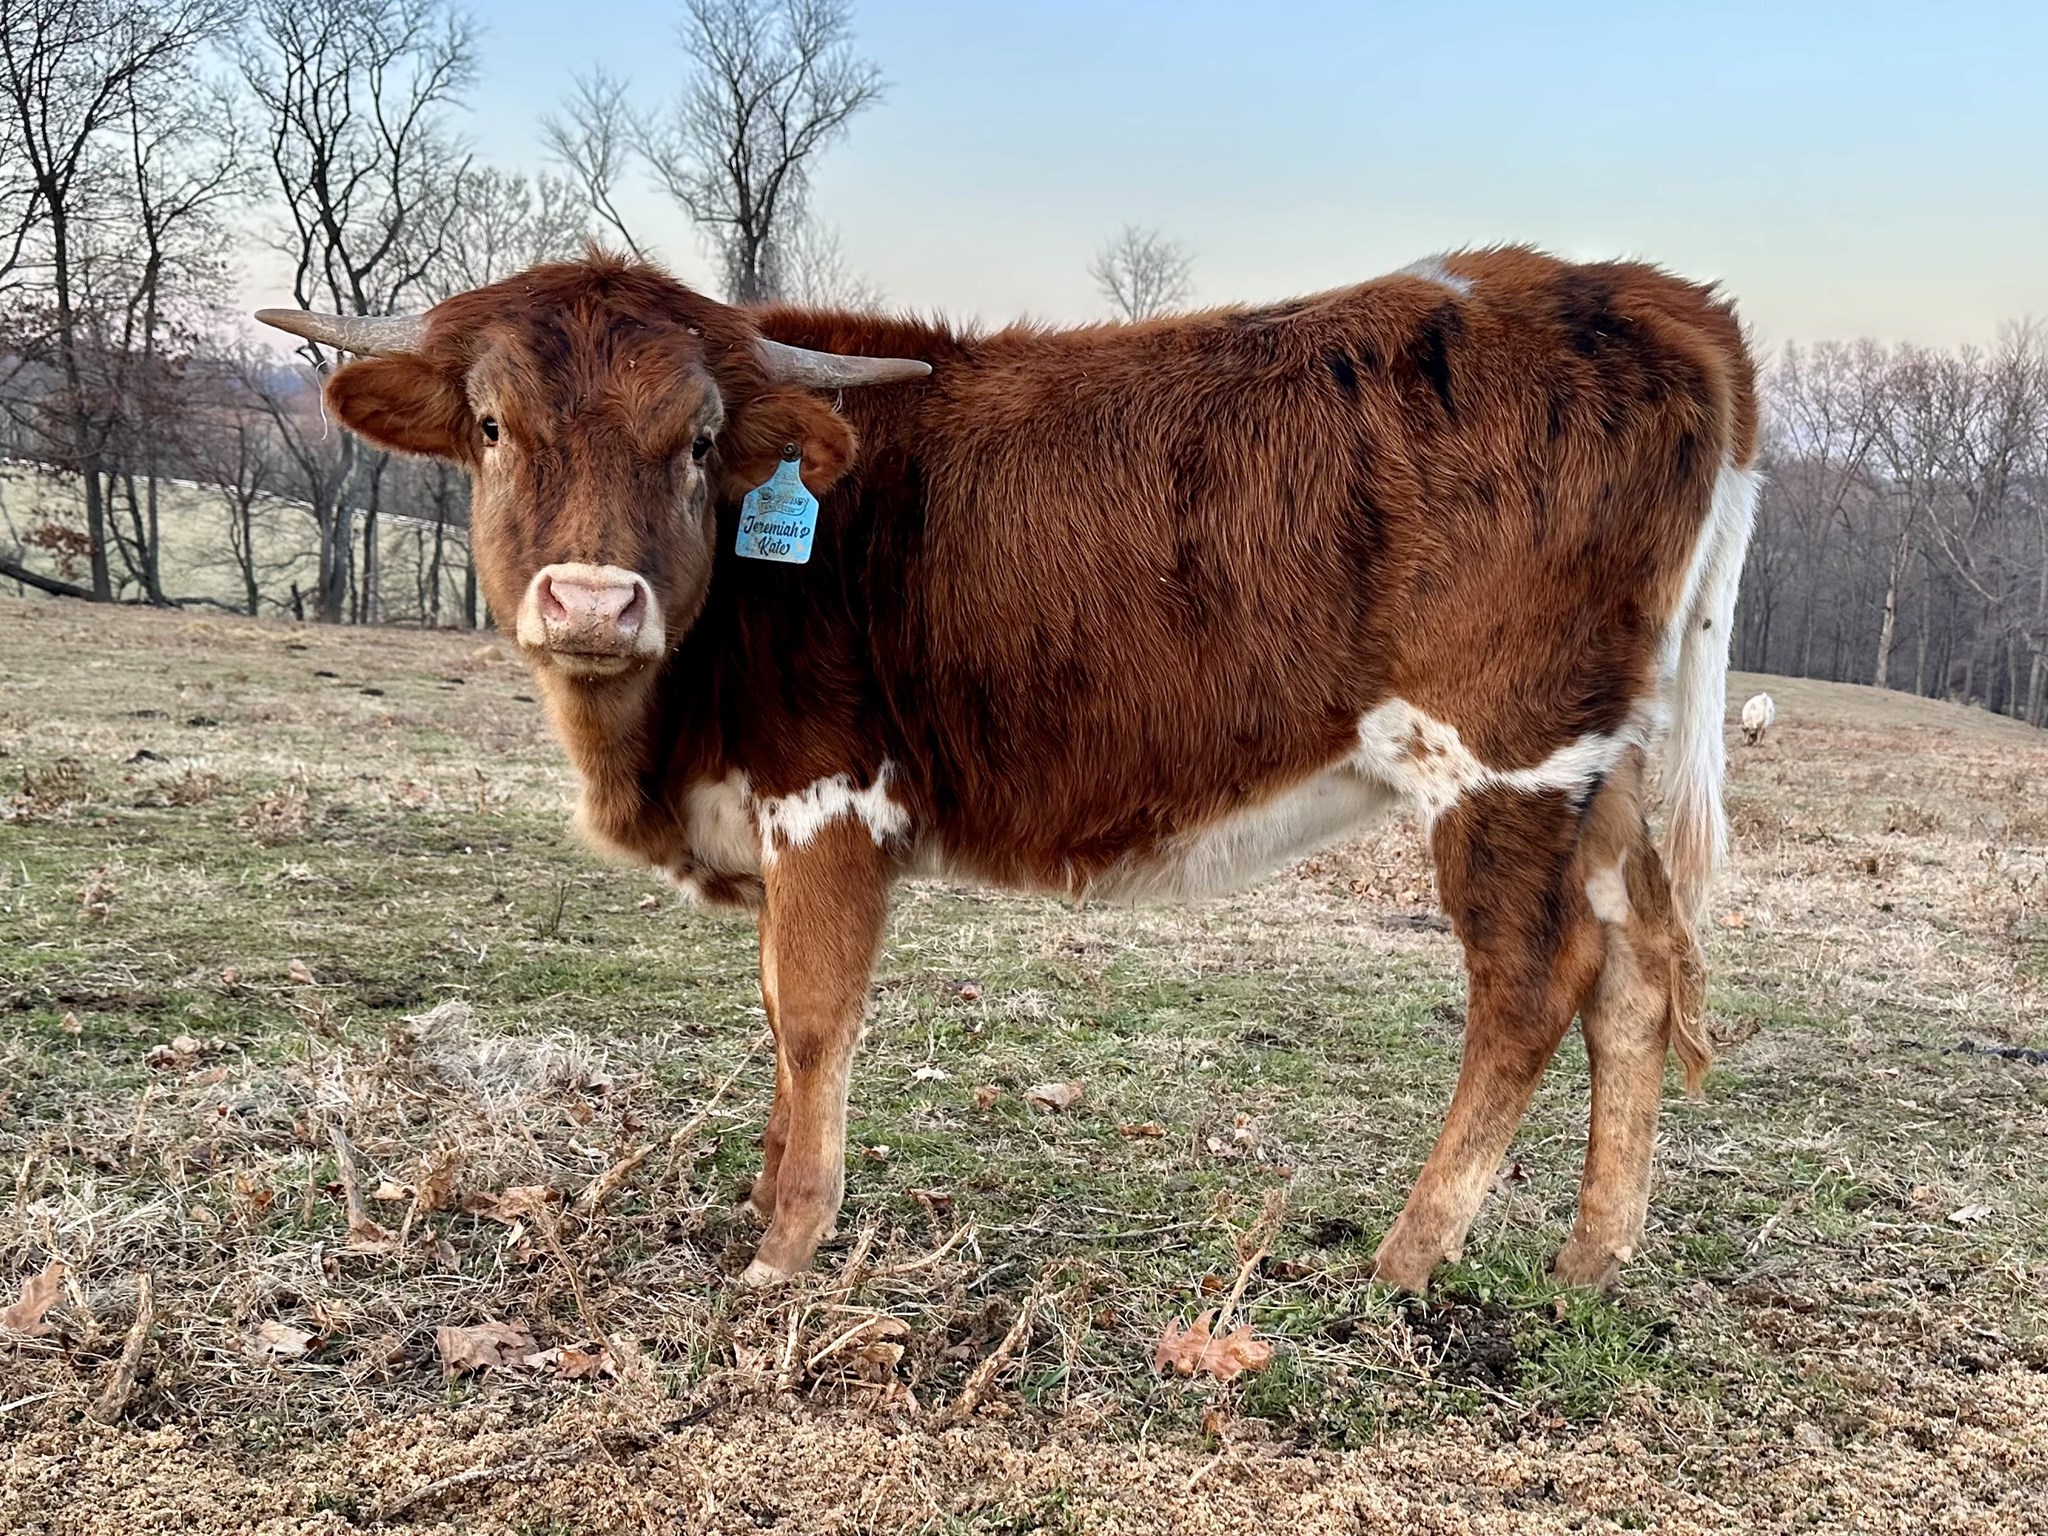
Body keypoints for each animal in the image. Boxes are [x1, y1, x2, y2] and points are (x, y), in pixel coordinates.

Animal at [258, 245, 1759, 1293]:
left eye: (696, 440)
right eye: (492, 426)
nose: (589, 602)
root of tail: (1636, 291)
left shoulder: (833, 797)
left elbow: (814, 1019)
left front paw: (783, 1251)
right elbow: (777, 1015)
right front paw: (761, 1201)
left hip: (1505, 760)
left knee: (1532, 986)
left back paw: (1404, 1260)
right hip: (1602, 771)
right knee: (1635, 977)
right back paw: (1585, 1265)